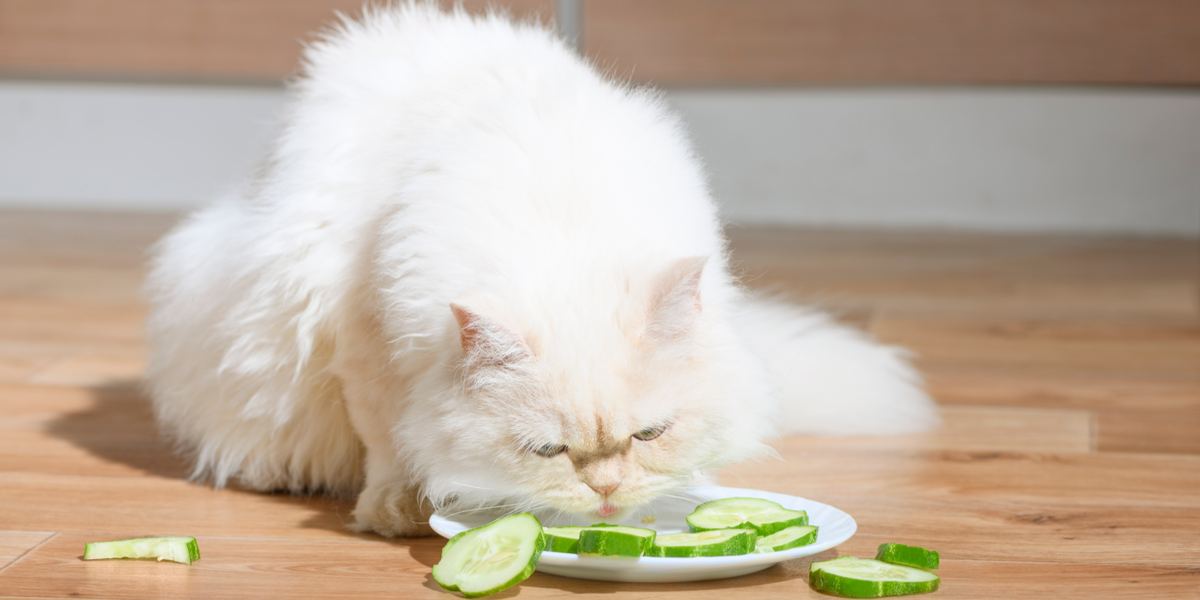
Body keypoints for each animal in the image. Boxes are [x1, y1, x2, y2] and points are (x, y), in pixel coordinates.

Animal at [142, 2, 936, 537]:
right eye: (549, 451)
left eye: (649, 436)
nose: (608, 492)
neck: (562, 234)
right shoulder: (361, 340)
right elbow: (390, 439)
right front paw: (396, 507)